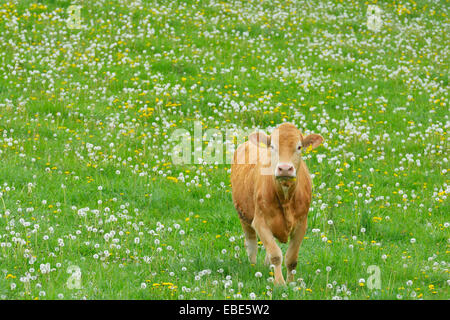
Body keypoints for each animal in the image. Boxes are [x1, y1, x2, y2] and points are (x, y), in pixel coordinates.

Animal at [232, 122, 324, 284]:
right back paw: (254, 267)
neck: (286, 197)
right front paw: (280, 283)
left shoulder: (301, 224)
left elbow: (291, 259)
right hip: (243, 216)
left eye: (299, 147)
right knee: (252, 245)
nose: (285, 168)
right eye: (273, 146)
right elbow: (276, 254)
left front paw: (291, 283)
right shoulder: (260, 222)